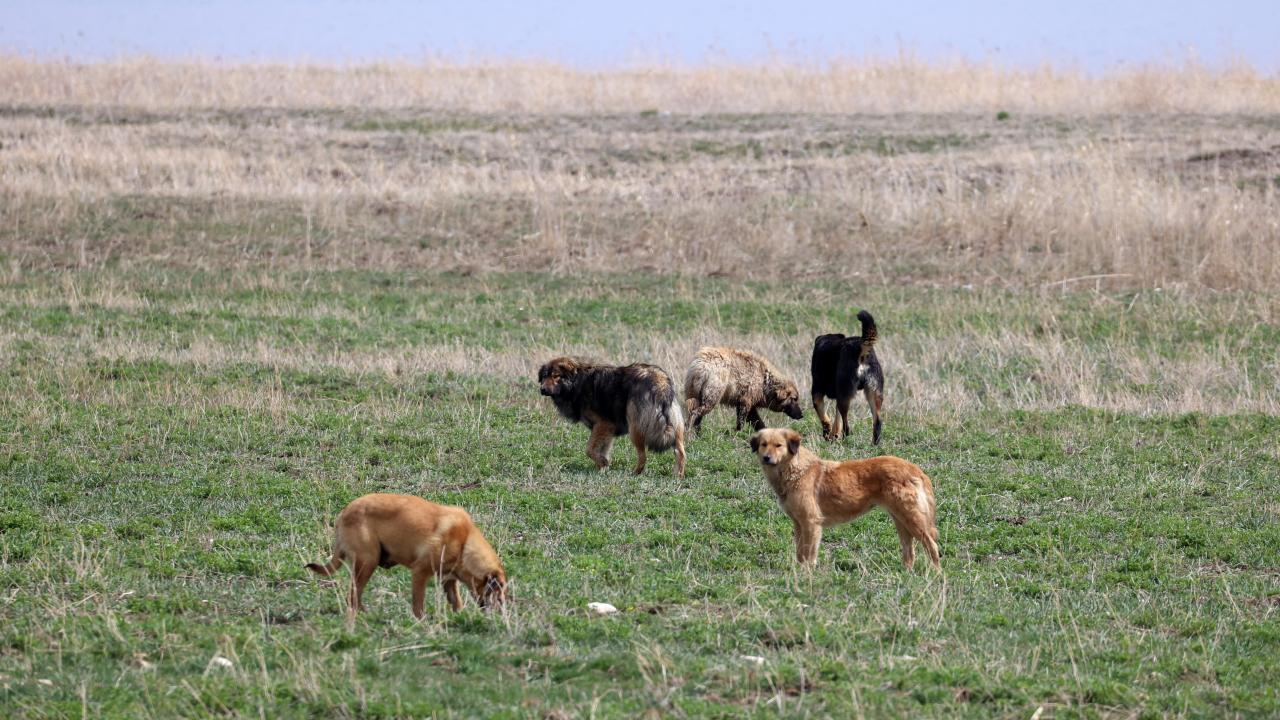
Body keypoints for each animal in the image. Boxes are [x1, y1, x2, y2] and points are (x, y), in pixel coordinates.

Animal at [535, 353, 686, 476]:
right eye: (544, 376)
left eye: (556, 376)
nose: (543, 389)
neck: (578, 382)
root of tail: (660, 382)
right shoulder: (607, 430)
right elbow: (601, 450)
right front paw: (603, 468)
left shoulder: (603, 424)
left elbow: (589, 450)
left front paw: (603, 463)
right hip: (676, 427)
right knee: (680, 452)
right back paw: (678, 475)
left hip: (635, 428)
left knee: (643, 456)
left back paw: (635, 473)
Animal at [808, 308, 880, 443]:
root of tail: (860, 348)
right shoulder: (838, 395)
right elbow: (837, 421)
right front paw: (833, 435)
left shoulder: (817, 392)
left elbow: (824, 417)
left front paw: (827, 433)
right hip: (874, 394)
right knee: (877, 423)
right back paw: (874, 444)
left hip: (845, 395)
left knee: (847, 425)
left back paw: (846, 439)